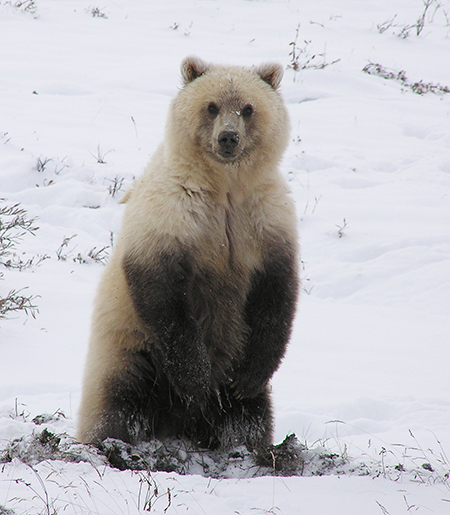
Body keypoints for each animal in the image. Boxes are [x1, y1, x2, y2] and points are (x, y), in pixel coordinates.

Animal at [77, 54, 298, 454]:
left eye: (247, 108)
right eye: (211, 106)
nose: (228, 137)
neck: (224, 189)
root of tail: (177, 426)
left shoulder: (265, 220)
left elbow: (276, 296)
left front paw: (248, 377)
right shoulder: (173, 214)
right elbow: (165, 298)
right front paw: (197, 380)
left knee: (248, 417)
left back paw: (244, 443)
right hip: (128, 353)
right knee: (118, 404)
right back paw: (115, 444)